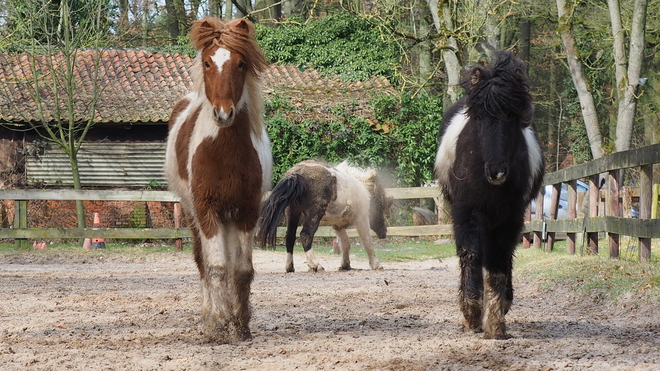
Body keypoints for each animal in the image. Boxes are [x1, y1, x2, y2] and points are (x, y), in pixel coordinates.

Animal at [165, 17, 270, 342]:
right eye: (208, 62)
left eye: (241, 63)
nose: (224, 114)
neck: (224, 153)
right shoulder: (206, 209)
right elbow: (215, 267)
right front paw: (219, 324)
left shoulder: (247, 211)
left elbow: (242, 270)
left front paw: (242, 325)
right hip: (192, 213)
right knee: (202, 261)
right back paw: (207, 315)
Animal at [258, 160, 392, 274]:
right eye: (381, 205)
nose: (384, 232)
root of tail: (296, 174)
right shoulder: (361, 219)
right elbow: (367, 242)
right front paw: (376, 264)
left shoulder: (338, 226)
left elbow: (345, 244)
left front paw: (345, 265)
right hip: (314, 215)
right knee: (305, 235)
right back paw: (315, 265)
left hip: (292, 212)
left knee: (290, 237)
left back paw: (290, 267)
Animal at [434, 52, 540, 340]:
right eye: (479, 117)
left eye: (512, 117)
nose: (497, 172)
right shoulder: (466, 212)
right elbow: (470, 254)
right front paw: (472, 312)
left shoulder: (510, 218)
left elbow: (498, 264)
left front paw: (495, 321)